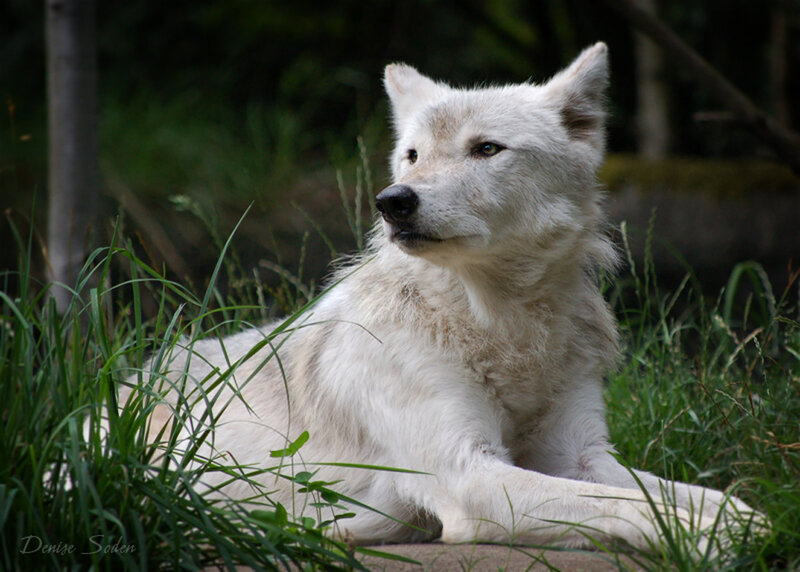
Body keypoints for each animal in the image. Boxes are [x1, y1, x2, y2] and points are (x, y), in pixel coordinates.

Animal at [132, 43, 759, 551]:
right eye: (412, 155)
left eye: (486, 149)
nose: (393, 202)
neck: (503, 321)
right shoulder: (468, 474)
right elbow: (627, 506)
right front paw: (711, 538)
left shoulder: (581, 455)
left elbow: (686, 493)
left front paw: (747, 519)